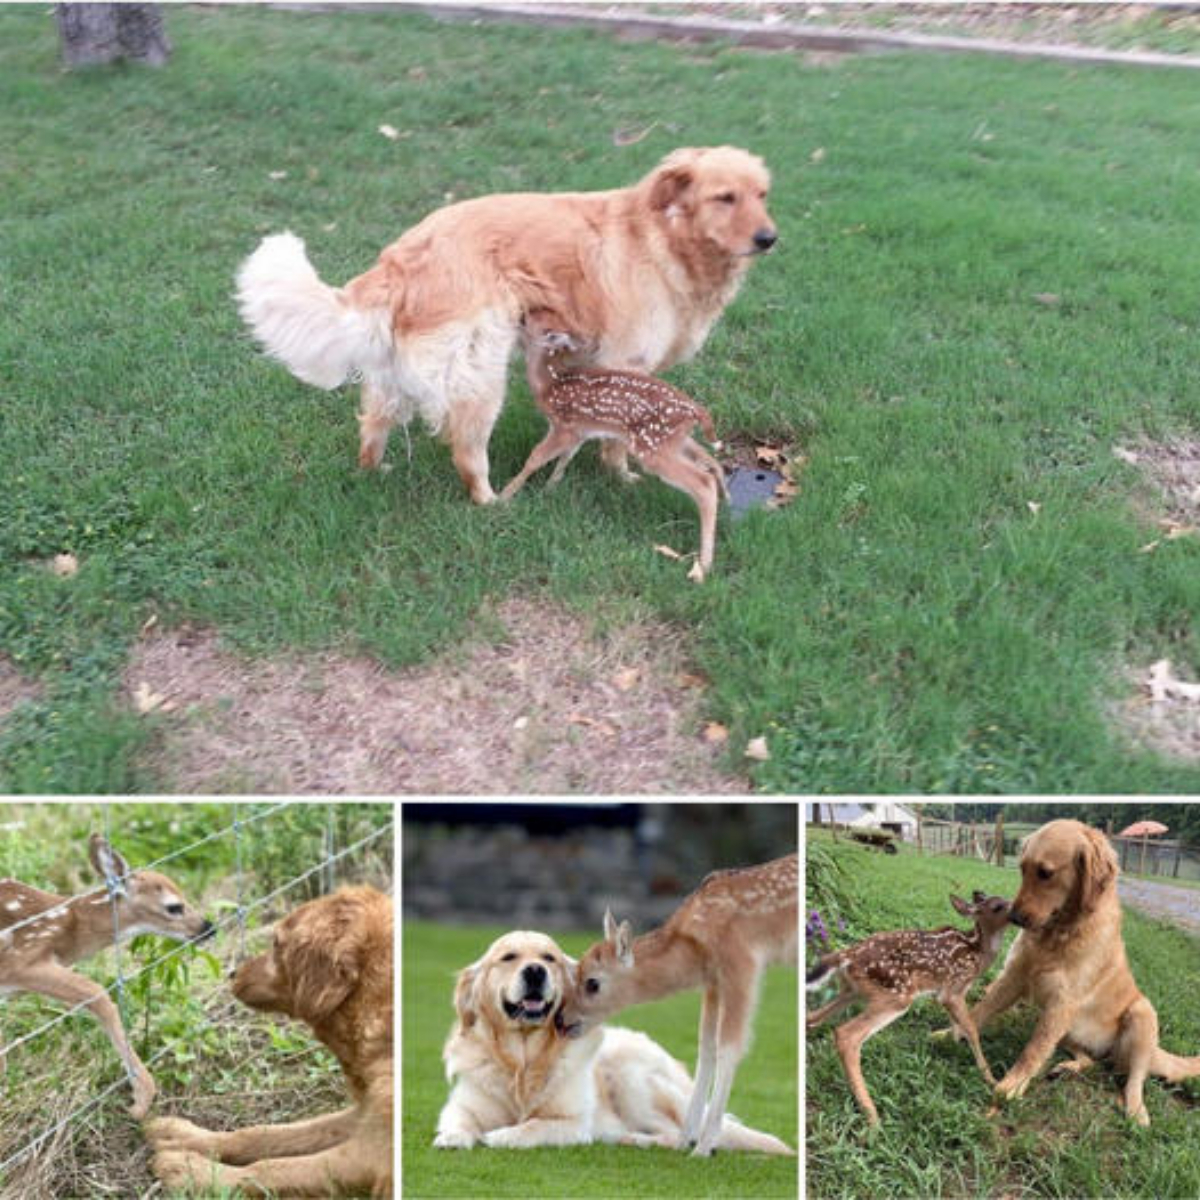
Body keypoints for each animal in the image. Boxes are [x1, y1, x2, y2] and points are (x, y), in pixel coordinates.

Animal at [0, 835, 213, 1113]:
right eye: (174, 907)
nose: (209, 928)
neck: (69, 927)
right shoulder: (20, 960)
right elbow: (97, 992)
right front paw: (142, 1098)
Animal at [142, 888, 391, 1195]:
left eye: (276, 943)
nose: (232, 973)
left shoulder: (371, 1154)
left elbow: (271, 1168)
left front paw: (188, 1170)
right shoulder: (366, 1115)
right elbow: (267, 1133)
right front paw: (183, 1136)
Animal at [436, 926, 792, 1152]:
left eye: (549, 958)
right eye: (508, 957)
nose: (535, 971)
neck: (524, 1061)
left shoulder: (572, 1123)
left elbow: (533, 1127)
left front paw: (500, 1136)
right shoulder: (462, 1104)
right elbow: (458, 1119)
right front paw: (454, 1138)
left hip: (629, 1077)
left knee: (677, 1134)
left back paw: (636, 1139)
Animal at [499, 316, 724, 583]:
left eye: (526, 321)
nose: (513, 320)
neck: (548, 384)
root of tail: (695, 411)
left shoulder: (564, 428)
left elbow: (535, 458)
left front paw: (504, 496)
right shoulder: (579, 432)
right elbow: (565, 458)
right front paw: (549, 488)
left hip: (653, 447)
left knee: (703, 483)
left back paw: (704, 565)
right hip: (673, 442)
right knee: (709, 462)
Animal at [806, 892, 1012, 1123]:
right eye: (997, 906)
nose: (1017, 910)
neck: (978, 952)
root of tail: (847, 955)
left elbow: (958, 1024)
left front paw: (951, 1043)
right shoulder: (953, 989)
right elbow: (972, 1029)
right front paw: (990, 1079)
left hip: (853, 990)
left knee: (812, 1017)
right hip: (896, 995)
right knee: (846, 1035)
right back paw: (872, 1116)